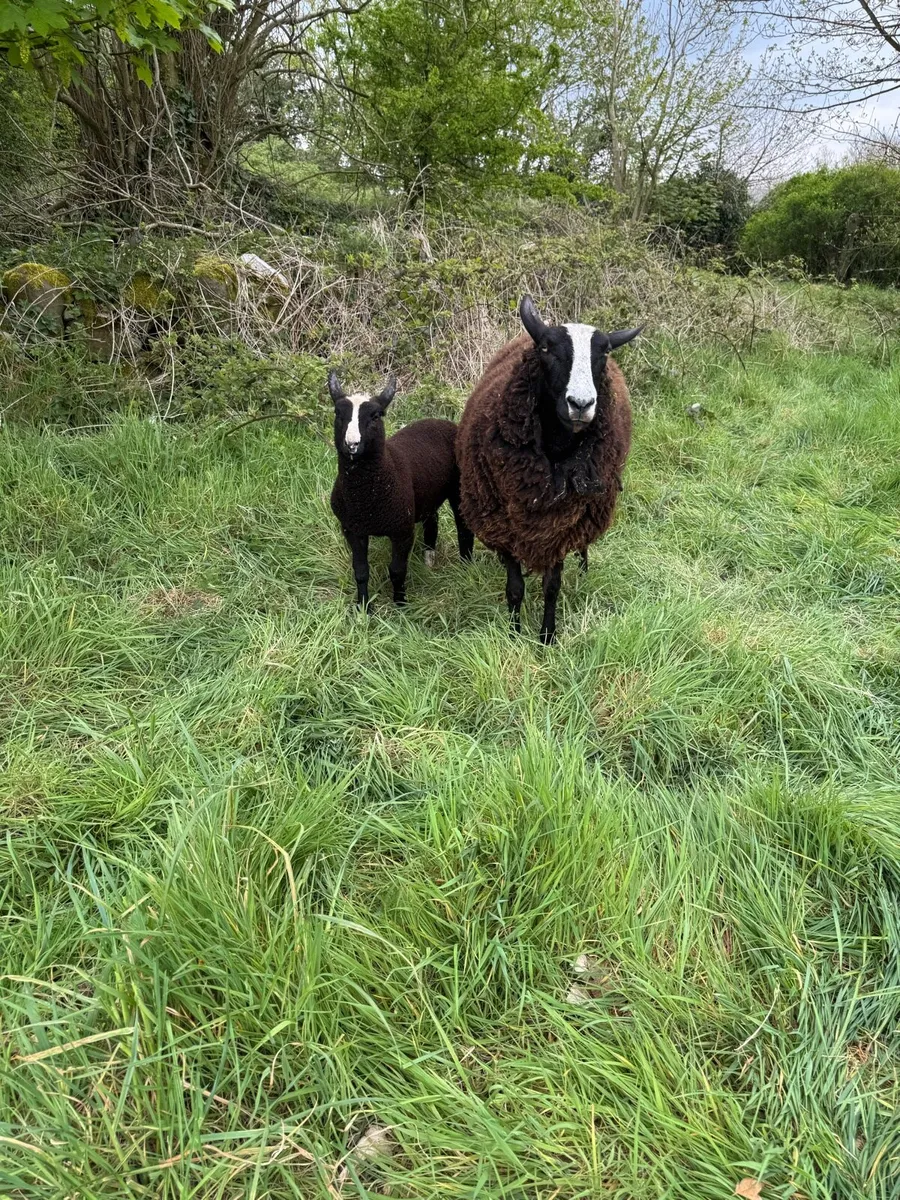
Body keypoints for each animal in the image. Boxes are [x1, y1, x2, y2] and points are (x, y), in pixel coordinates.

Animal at [328, 371, 474, 608]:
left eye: (376, 416)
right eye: (337, 413)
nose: (352, 444)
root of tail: (438, 420)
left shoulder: (402, 531)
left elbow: (397, 571)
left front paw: (400, 605)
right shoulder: (352, 529)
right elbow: (361, 571)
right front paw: (364, 607)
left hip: (458, 487)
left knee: (463, 528)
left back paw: (466, 566)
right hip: (426, 495)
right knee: (432, 520)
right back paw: (429, 560)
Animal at [456, 296, 642, 644]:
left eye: (604, 353)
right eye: (546, 348)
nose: (581, 404)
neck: (555, 449)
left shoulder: (562, 524)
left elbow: (551, 587)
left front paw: (547, 637)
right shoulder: (504, 525)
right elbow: (515, 588)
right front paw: (514, 632)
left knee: (582, 548)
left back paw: (583, 567)